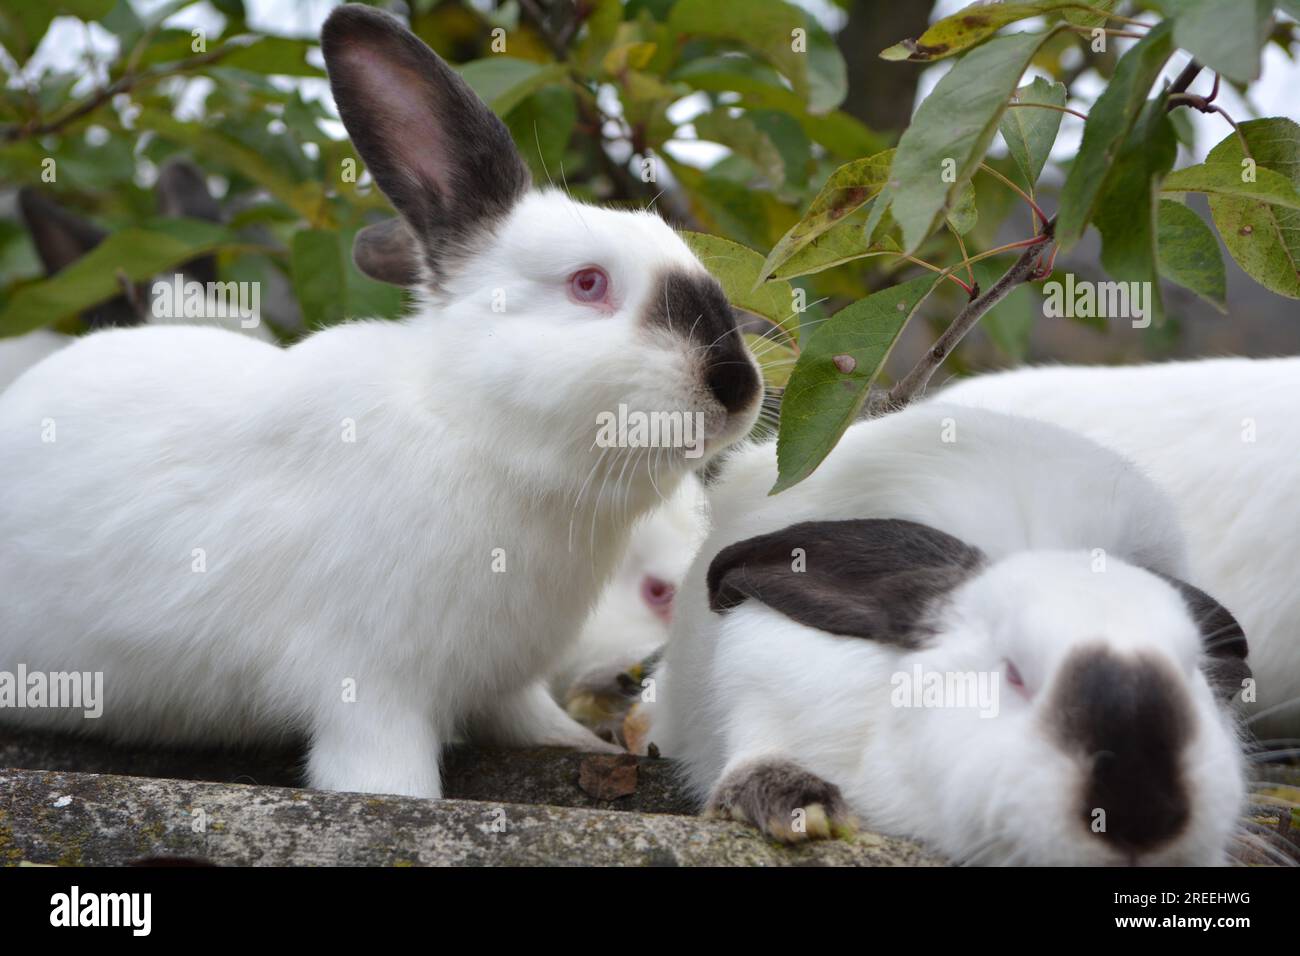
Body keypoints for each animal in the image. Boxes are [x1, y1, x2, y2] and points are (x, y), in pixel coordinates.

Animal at [0, 4, 762, 799]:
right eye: (588, 284)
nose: (737, 386)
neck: (475, 430)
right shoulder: (370, 691)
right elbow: (385, 776)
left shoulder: (502, 684)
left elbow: (531, 721)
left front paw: (584, 744)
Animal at [648, 403, 1251, 864]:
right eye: (1014, 673)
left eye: (1193, 670)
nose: (1140, 812)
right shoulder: (762, 663)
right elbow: (753, 741)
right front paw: (797, 804)